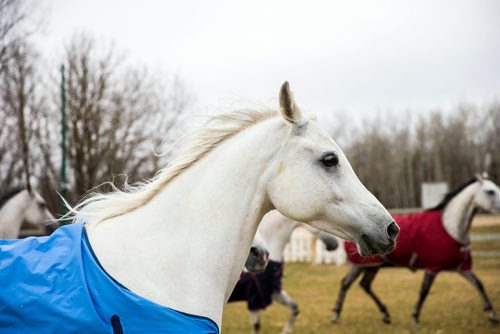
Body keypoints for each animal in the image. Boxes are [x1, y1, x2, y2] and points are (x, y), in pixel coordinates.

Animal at [332, 176, 500, 324]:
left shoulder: (461, 267)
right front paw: (415, 317)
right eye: (490, 191)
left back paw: (386, 315)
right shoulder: (433, 267)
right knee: (346, 284)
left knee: (365, 285)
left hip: (372, 266)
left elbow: (479, 284)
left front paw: (492, 316)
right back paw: (336, 315)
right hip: (361, 265)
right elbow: (424, 291)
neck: (449, 227)